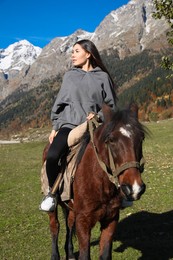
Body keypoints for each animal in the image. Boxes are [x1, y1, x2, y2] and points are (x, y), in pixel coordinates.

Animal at [41, 104, 146, 260]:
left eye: (141, 138)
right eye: (111, 140)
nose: (134, 188)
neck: (99, 182)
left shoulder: (111, 219)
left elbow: (105, 254)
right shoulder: (83, 221)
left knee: (69, 224)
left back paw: (70, 253)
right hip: (53, 206)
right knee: (55, 226)